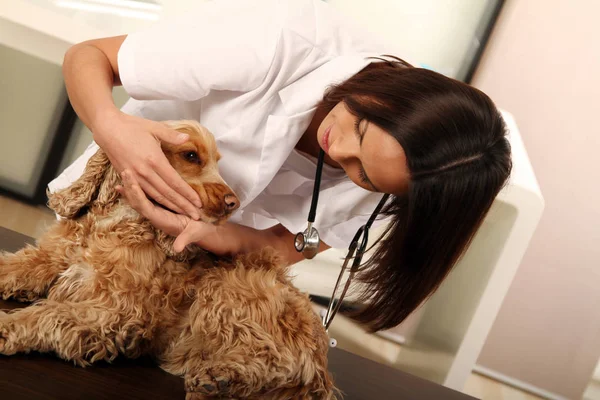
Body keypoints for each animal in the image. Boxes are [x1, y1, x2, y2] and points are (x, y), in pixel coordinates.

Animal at [0, 120, 336, 398]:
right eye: (191, 156)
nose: (233, 203)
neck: (116, 223)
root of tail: (320, 359)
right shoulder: (48, 258)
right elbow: (14, 266)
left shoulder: (113, 312)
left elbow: (49, 314)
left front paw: (6, 327)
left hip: (230, 287)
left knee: (274, 359)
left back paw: (221, 377)